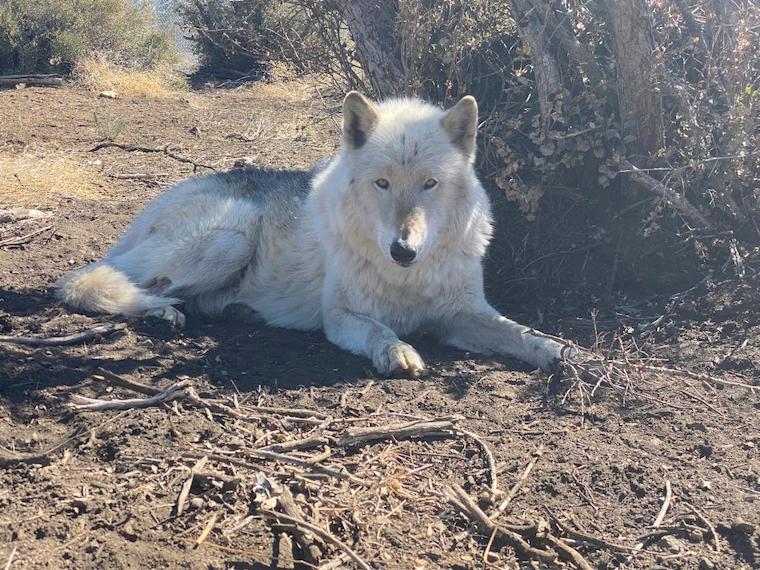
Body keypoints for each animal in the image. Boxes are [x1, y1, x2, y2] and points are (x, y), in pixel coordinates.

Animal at [56, 92, 572, 377]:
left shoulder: (463, 315)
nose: (403, 250)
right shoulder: (340, 316)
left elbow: (521, 332)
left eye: (430, 184)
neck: (408, 279)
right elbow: (380, 329)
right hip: (232, 236)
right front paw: (397, 352)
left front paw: (563, 353)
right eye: (382, 183)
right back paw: (162, 310)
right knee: (94, 284)